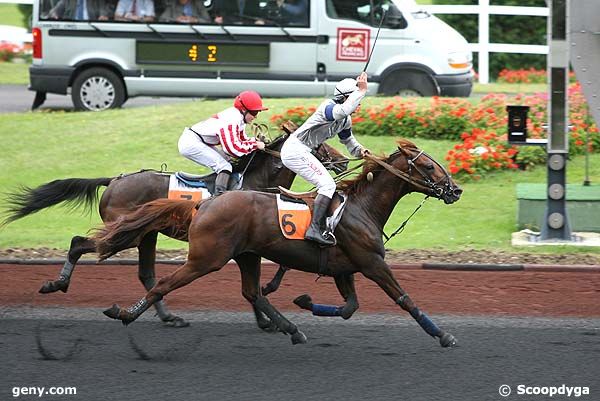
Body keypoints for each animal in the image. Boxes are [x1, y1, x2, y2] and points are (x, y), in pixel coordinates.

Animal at [2, 131, 346, 324]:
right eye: (320, 145)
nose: (342, 162)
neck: (254, 181)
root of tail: (114, 179)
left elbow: (280, 268)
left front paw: (268, 305)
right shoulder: (246, 240)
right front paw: (267, 315)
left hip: (146, 234)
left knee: (147, 275)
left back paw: (167, 316)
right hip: (129, 232)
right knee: (80, 243)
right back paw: (56, 284)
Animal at [96, 139, 464, 346]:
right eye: (429, 166)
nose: (456, 190)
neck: (361, 208)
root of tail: (206, 204)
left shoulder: (344, 269)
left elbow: (349, 308)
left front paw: (305, 302)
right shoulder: (373, 264)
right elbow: (404, 299)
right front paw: (442, 335)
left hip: (246, 255)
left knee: (252, 292)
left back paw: (289, 328)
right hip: (206, 258)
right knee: (163, 283)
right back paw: (128, 314)